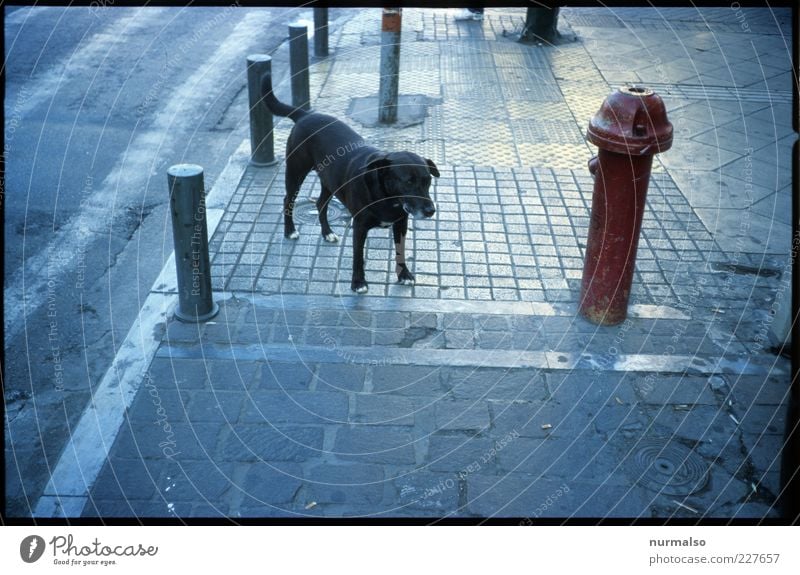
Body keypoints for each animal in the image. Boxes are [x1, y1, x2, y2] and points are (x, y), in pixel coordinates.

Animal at [260, 73, 438, 292]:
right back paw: (290, 231)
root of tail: (305, 115)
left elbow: (400, 251)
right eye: (408, 182)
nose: (431, 211)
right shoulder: (359, 226)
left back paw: (327, 233)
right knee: (288, 200)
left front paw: (404, 274)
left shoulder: (401, 223)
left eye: (428, 181)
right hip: (296, 172)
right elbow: (357, 257)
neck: (387, 197)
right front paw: (358, 283)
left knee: (320, 203)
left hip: (330, 181)